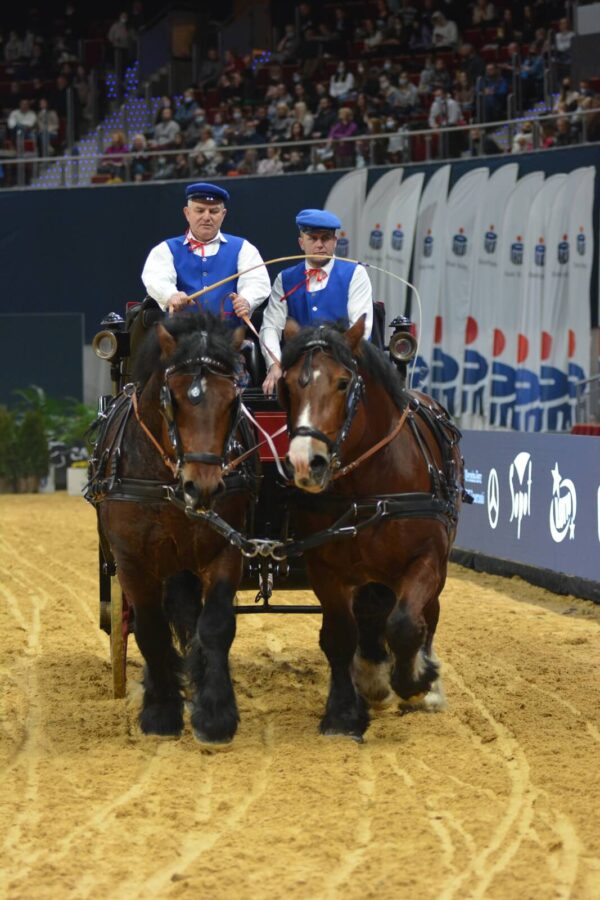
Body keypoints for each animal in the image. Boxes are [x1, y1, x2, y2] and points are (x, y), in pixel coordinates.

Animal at [88, 316, 255, 744]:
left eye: (232, 402)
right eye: (172, 399)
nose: (203, 486)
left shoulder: (225, 551)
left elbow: (215, 625)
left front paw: (216, 714)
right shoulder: (132, 562)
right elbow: (150, 629)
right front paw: (161, 711)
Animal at [278, 316, 466, 740]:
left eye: (342, 382)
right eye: (288, 383)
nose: (305, 462)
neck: (369, 487)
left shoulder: (426, 559)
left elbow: (405, 623)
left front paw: (416, 681)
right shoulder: (325, 569)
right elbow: (339, 635)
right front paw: (343, 713)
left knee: (427, 613)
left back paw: (423, 683)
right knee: (368, 616)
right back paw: (372, 675)